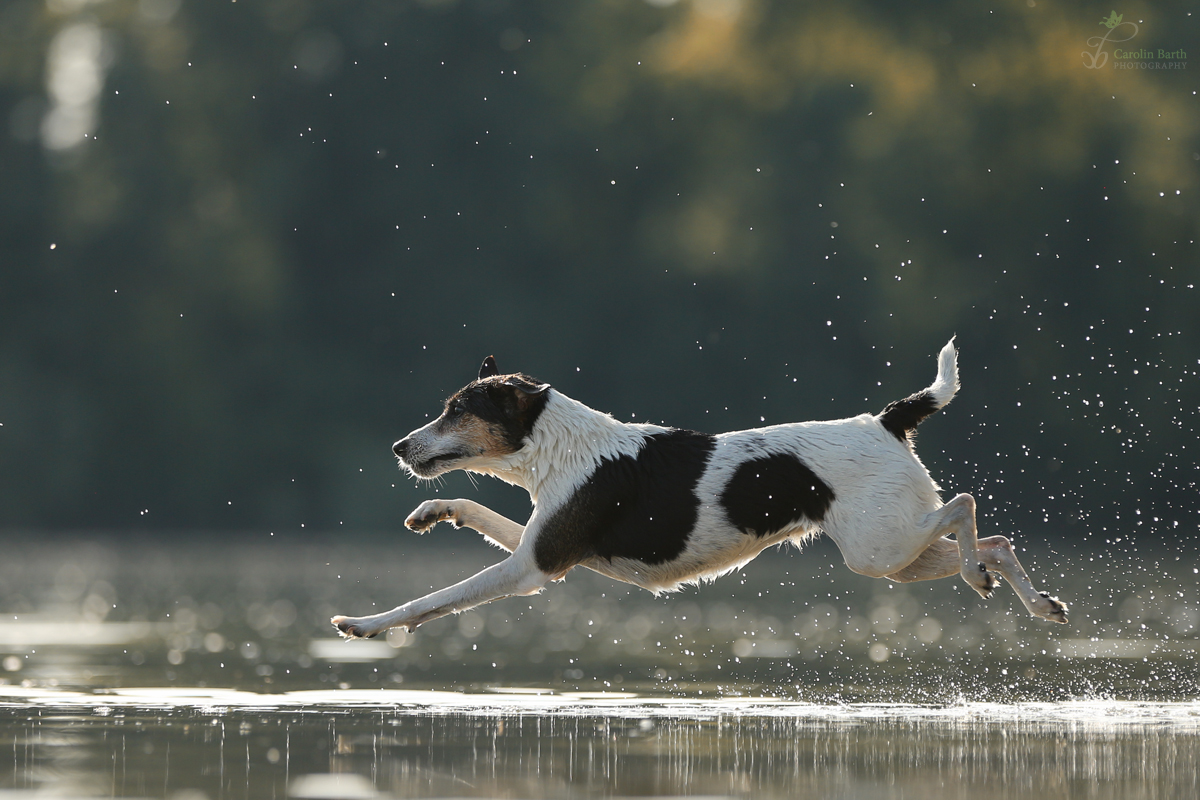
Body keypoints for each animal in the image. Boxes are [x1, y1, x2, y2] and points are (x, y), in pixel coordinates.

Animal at [331, 340, 1070, 642]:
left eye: (457, 411)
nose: (400, 448)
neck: (561, 447)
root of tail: (887, 419)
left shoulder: (532, 568)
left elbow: (432, 600)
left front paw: (365, 624)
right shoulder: (549, 552)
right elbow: (474, 506)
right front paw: (431, 511)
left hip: (878, 547)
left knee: (966, 508)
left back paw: (979, 573)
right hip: (894, 557)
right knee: (998, 540)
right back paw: (1034, 601)